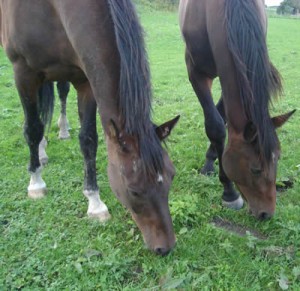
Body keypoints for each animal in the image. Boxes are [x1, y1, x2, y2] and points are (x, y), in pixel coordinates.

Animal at [0, 0, 179, 256]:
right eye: (134, 190)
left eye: (171, 175)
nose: (165, 247)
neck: (50, 8)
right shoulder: (23, 72)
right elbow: (32, 129)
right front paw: (35, 183)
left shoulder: (86, 79)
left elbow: (89, 140)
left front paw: (95, 203)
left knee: (60, 92)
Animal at [179, 0, 294, 219]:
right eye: (255, 169)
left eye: (278, 160)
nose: (266, 214)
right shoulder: (196, 72)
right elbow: (215, 126)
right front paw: (229, 193)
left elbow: (222, 120)